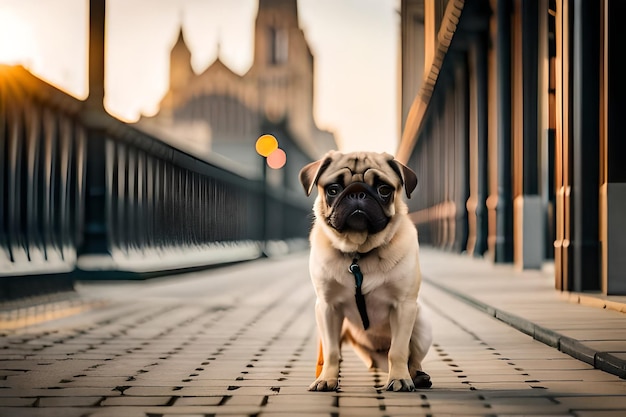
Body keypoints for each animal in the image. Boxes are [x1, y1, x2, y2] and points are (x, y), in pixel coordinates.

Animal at [298, 151, 428, 392]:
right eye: (333, 189)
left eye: (384, 190)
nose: (357, 192)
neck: (358, 253)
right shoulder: (327, 308)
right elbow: (331, 351)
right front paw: (326, 379)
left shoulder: (404, 307)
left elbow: (398, 350)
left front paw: (399, 379)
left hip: (422, 325)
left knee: (411, 357)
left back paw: (417, 376)